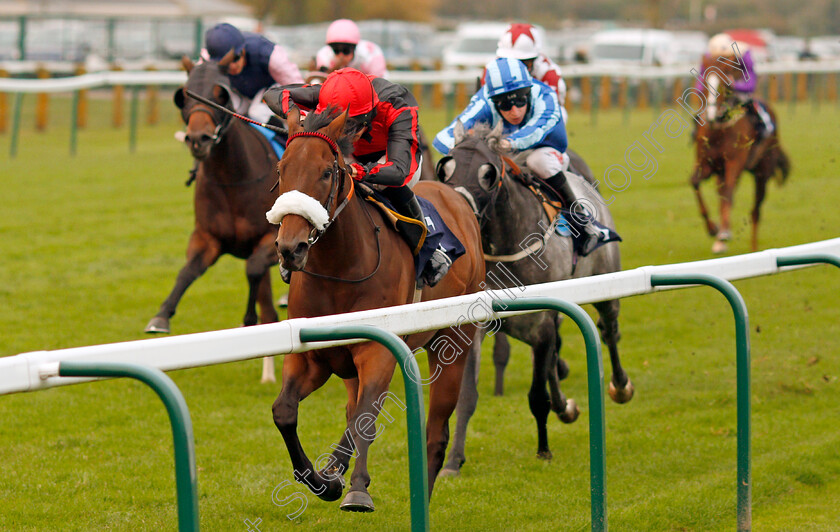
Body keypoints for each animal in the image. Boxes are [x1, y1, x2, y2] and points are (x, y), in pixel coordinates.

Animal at [148, 53, 282, 382]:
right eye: (184, 96)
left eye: (220, 93)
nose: (199, 139)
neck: (232, 178)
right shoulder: (207, 238)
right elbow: (187, 272)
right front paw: (161, 316)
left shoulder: (274, 238)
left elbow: (253, 267)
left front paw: (247, 318)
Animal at [270, 105, 486, 512]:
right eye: (281, 169)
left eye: (326, 172)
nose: (290, 248)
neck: (339, 269)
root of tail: (456, 198)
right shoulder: (312, 357)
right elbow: (285, 411)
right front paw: (323, 482)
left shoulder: (377, 352)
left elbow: (367, 418)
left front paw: (356, 490)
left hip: (453, 343)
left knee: (435, 432)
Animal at [436, 122, 632, 476]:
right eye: (446, 168)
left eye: (488, 173)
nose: (457, 211)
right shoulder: (479, 325)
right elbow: (467, 397)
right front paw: (454, 461)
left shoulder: (540, 320)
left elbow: (537, 395)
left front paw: (543, 449)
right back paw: (565, 405)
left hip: (605, 279)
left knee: (608, 328)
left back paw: (620, 385)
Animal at [688, 54, 788, 254]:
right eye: (705, 81)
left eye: (724, 83)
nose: (712, 115)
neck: (718, 131)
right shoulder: (707, 165)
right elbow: (695, 182)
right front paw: (714, 229)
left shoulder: (734, 163)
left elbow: (728, 192)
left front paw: (724, 232)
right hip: (722, 173)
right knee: (724, 197)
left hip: (762, 171)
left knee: (755, 210)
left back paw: (753, 248)